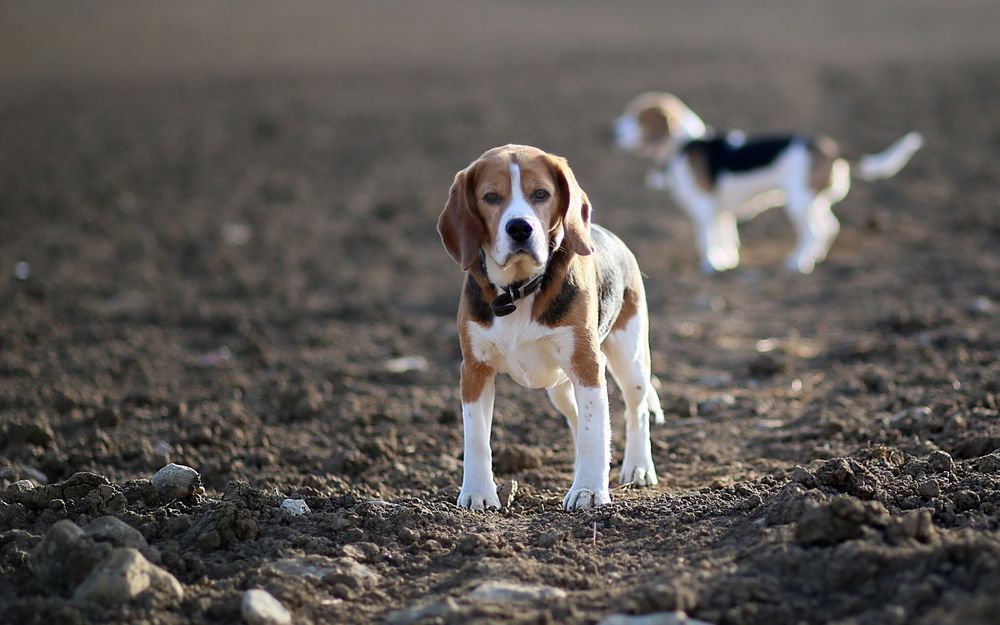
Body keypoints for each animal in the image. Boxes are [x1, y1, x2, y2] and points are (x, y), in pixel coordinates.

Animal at [434, 144, 660, 510]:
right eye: (491, 197)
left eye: (541, 194)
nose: (519, 228)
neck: (518, 289)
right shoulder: (474, 369)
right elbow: (476, 438)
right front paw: (478, 493)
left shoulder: (586, 364)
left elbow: (595, 433)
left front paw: (589, 491)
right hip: (560, 389)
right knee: (578, 418)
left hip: (631, 359)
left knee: (635, 411)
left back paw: (638, 469)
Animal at [612, 91, 924, 272]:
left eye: (637, 117)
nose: (610, 132)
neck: (685, 144)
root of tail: (830, 147)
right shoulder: (721, 211)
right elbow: (726, 237)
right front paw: (727, 261)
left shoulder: (704, 210)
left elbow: (706, 239)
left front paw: (711, 265)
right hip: (813, 202)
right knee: (829, 228)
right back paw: (816, 257)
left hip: (798, 203)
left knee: (814, 232)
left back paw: (798, 263)